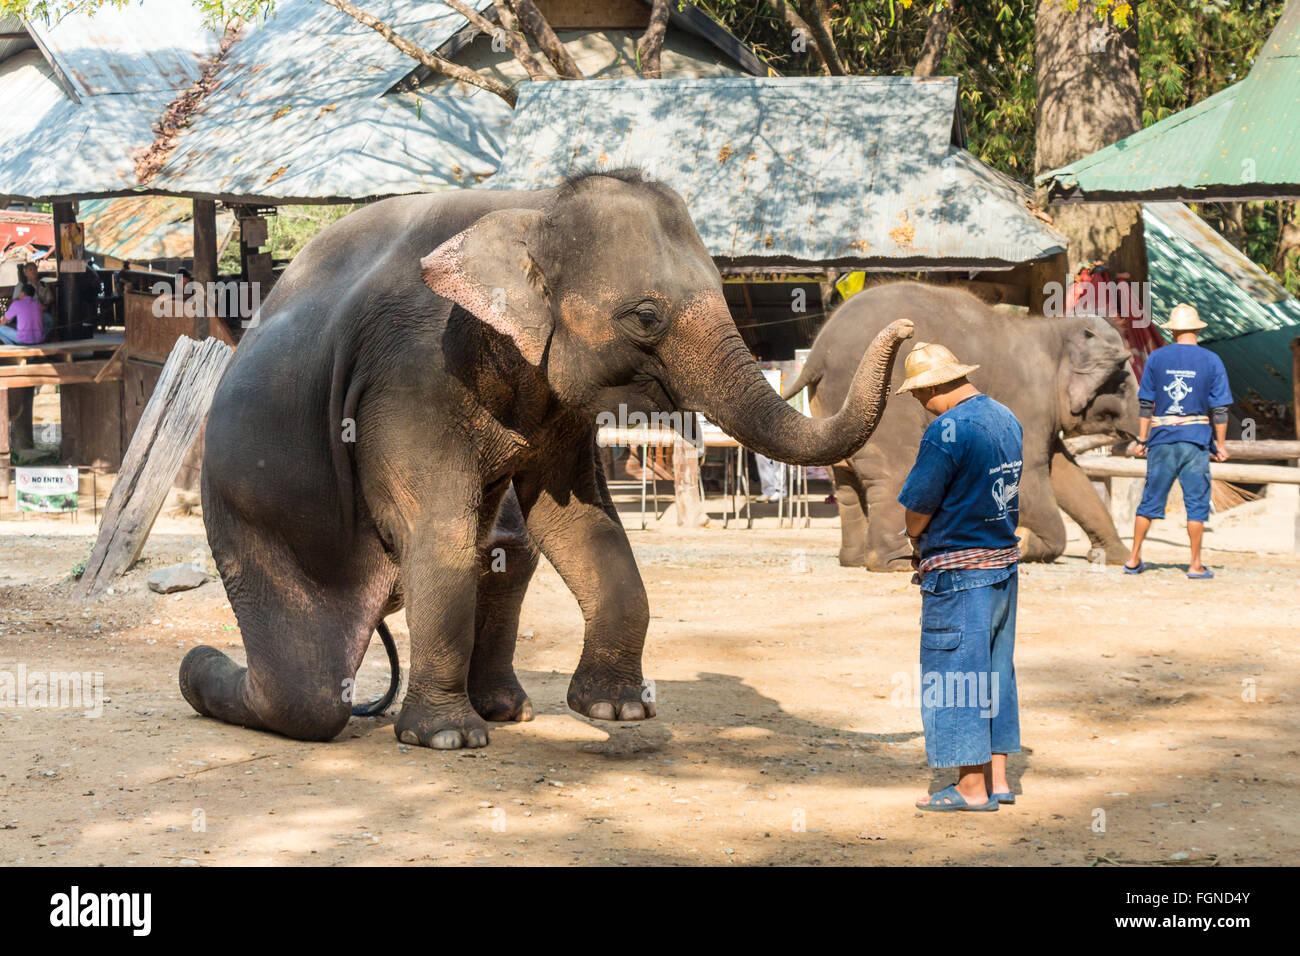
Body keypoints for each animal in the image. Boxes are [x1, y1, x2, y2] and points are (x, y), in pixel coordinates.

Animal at [179, 169, 914, 749]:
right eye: (645, 316)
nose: (905, 330)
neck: (530, 204)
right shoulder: (411, 373)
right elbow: (439, 532)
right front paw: (446, 739)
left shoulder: (555, 398)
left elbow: (579, 521)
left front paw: (618, 709)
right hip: (246, 520)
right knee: (305, 694)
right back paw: (200, 668)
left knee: (509, 549)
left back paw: (507, 710)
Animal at [782, 281, 1139, 572]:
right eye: (1122, 384)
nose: (1136, 437)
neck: (1053, 331)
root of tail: (817, 354)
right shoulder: (1029, 399)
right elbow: (1034, 473)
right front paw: (1025, 543)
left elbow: (1067, 472)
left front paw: (1112, 557)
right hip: (886, 411)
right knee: (893, 471)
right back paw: (894, 563)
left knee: (844, 481)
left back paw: (854, 560)